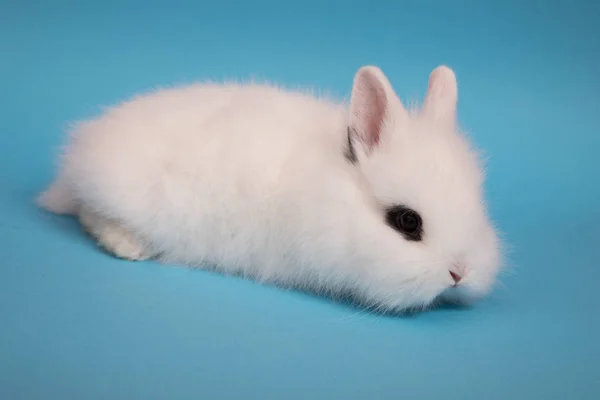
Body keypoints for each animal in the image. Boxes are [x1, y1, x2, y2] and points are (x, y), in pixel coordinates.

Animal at [38, 65, 502, 312]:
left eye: (479, 210)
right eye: (407, 222)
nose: (459, 274)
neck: (329, 190)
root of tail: (86, 148)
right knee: (89, 213)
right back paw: (128, 246)